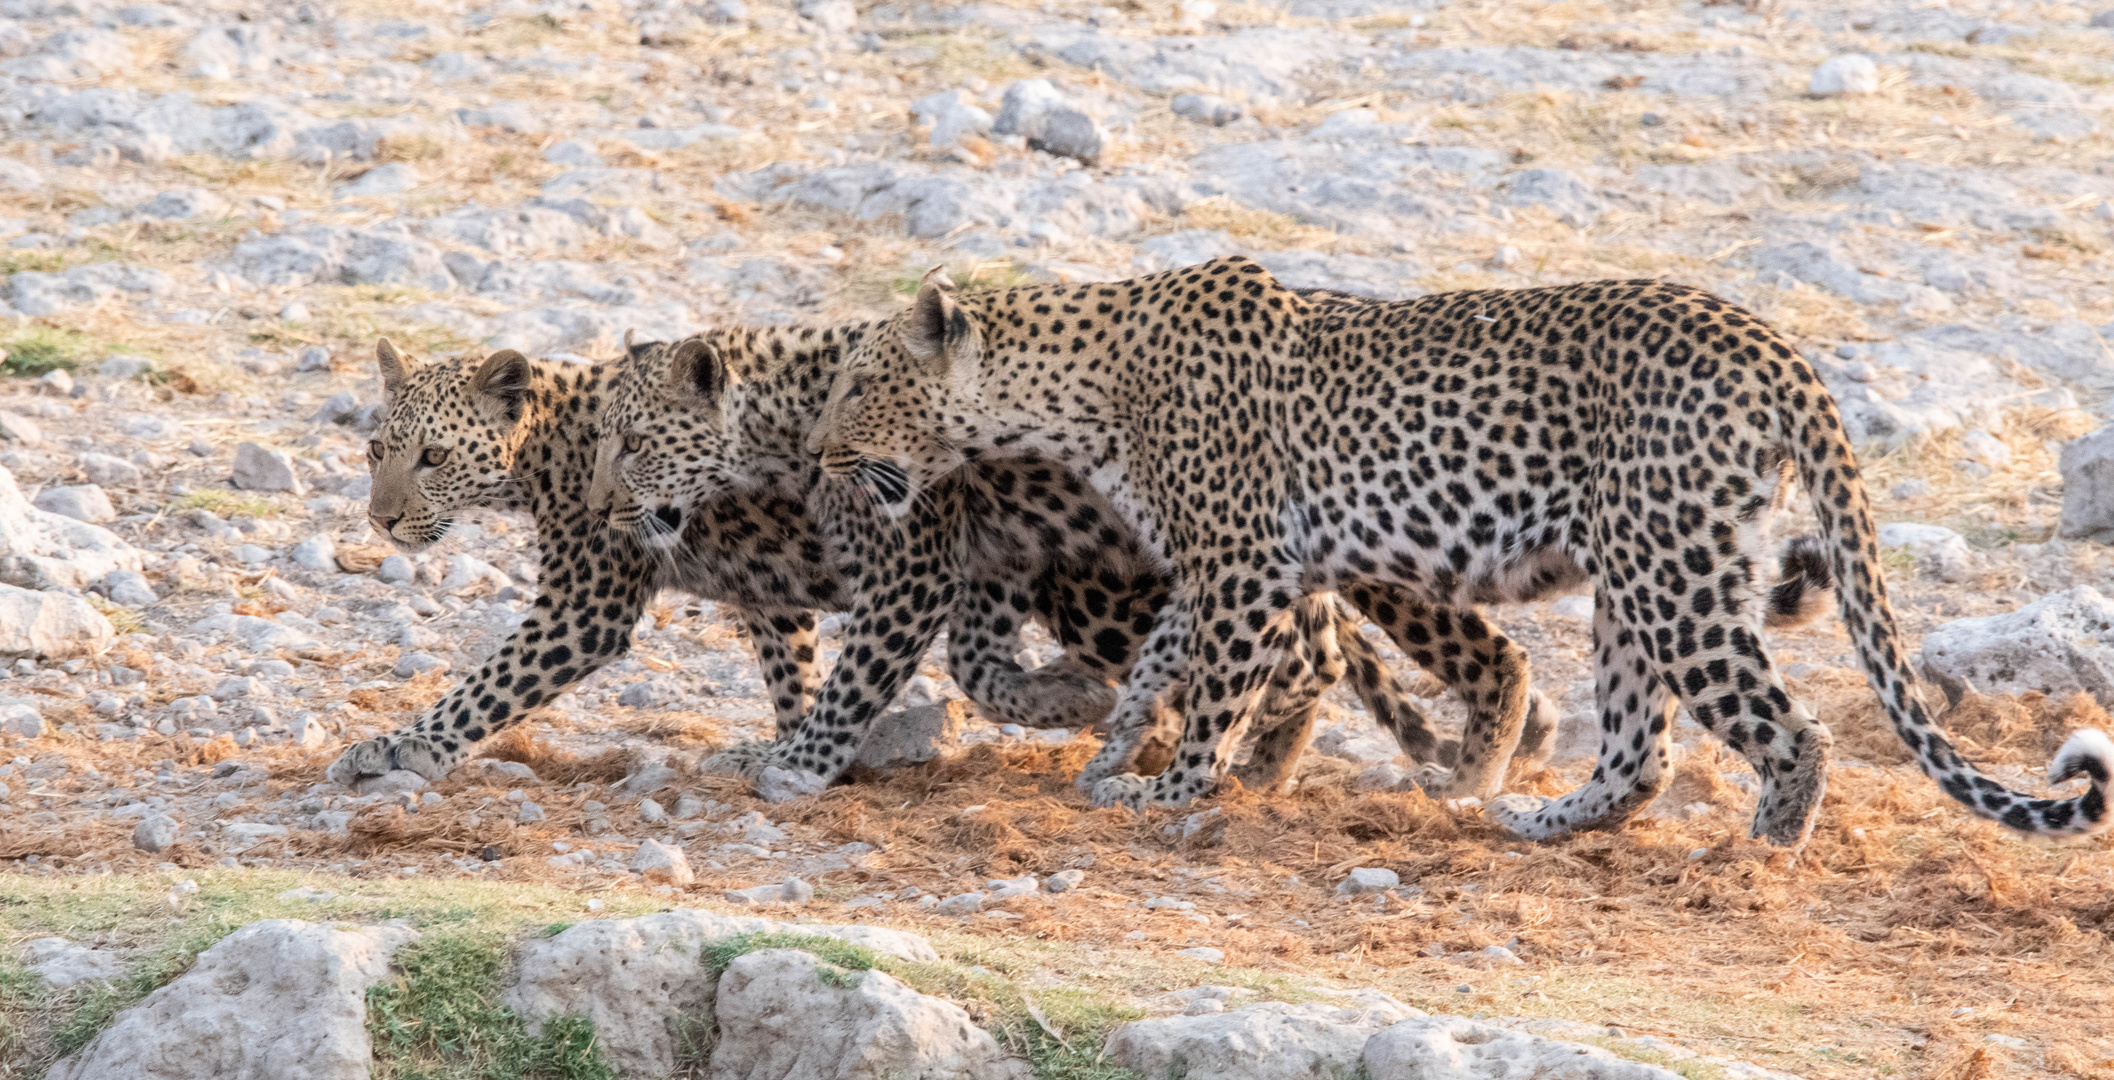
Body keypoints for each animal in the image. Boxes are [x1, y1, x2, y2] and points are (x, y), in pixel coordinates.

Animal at [587, 338, 1530, 803]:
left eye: (632, 442)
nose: (597, 507)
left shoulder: (916, 569)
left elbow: (857, 680)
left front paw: (802, 764)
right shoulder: (994, 559)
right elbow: (976, 668)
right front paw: (1070, 702)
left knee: (1324, 657)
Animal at [803, 257, 2114, 849]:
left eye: (861, 383)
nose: (814, 451)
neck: (1070, 389)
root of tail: (1773, 344)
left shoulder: (1242, 565)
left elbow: (1216, 690)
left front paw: (1169, 796)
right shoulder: (1220, 568)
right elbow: (1160, 666)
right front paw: (1112, 756)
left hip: (1671, 572)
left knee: (1787, 731)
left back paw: (1763, 849)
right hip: (1640, 573)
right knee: (1640, 746)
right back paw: (1540, 819)